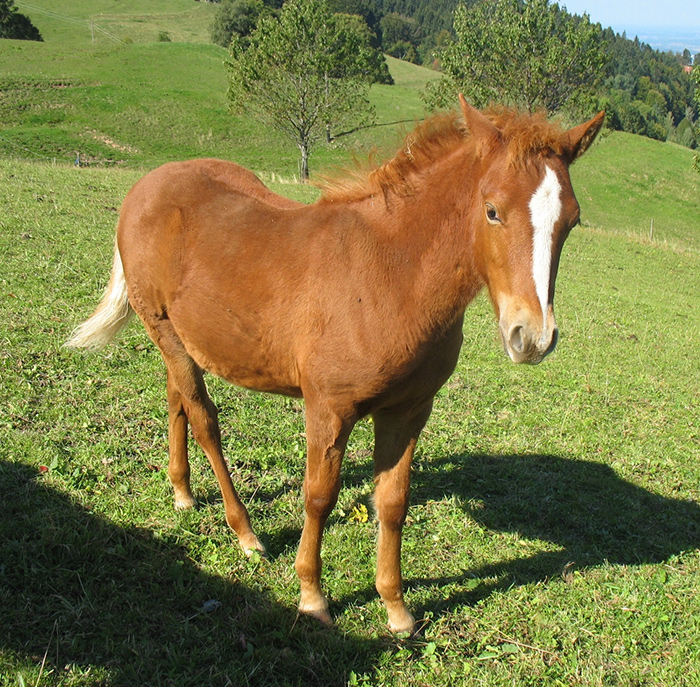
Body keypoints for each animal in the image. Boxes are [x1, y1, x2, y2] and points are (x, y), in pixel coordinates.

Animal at [64, 97, 600, 636]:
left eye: (572, 221)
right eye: (492, 210)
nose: (532, 337)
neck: (391, 275)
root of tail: (146, 186)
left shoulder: (409, 411)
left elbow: (393, 502)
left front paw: (396, 607)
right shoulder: (328, 407)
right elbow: (319, 497)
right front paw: (312, 596)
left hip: (182, 340)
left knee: (177, 398)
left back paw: (182, 493)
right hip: (164, 331)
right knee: (203, 418)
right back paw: (245, 532)